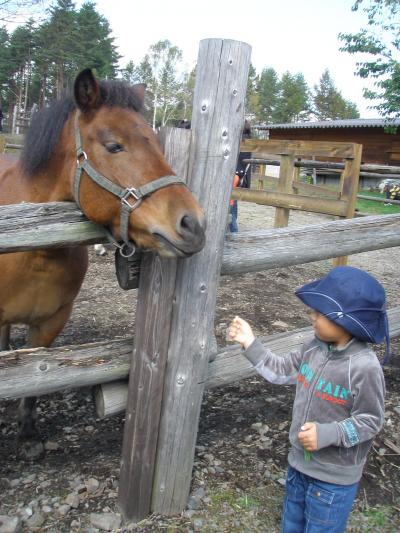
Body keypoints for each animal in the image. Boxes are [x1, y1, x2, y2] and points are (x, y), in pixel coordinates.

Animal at [0, 67, 206, 458]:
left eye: (158, 144)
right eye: (114, 146)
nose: (194, 224)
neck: (33, 252)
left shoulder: (51, 323)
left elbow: (37, 373)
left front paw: (28, 432)